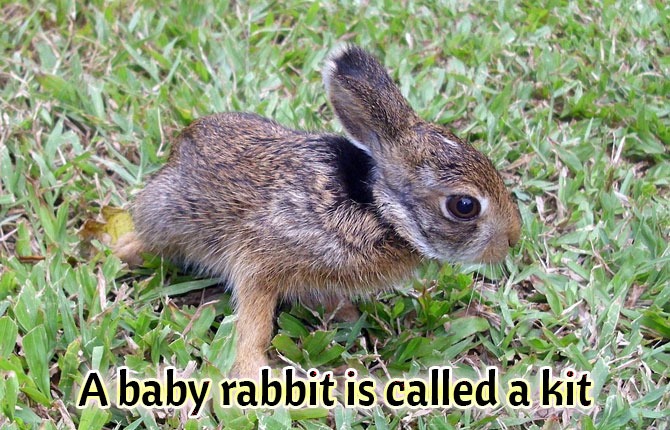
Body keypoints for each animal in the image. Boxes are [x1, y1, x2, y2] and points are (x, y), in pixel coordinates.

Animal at [115, 45, 522, 379]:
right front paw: (252, 371)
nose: (513, 238)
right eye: (464, 206)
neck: (380, 210)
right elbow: (254, 322)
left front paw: (351, 321)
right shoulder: (260, 260)